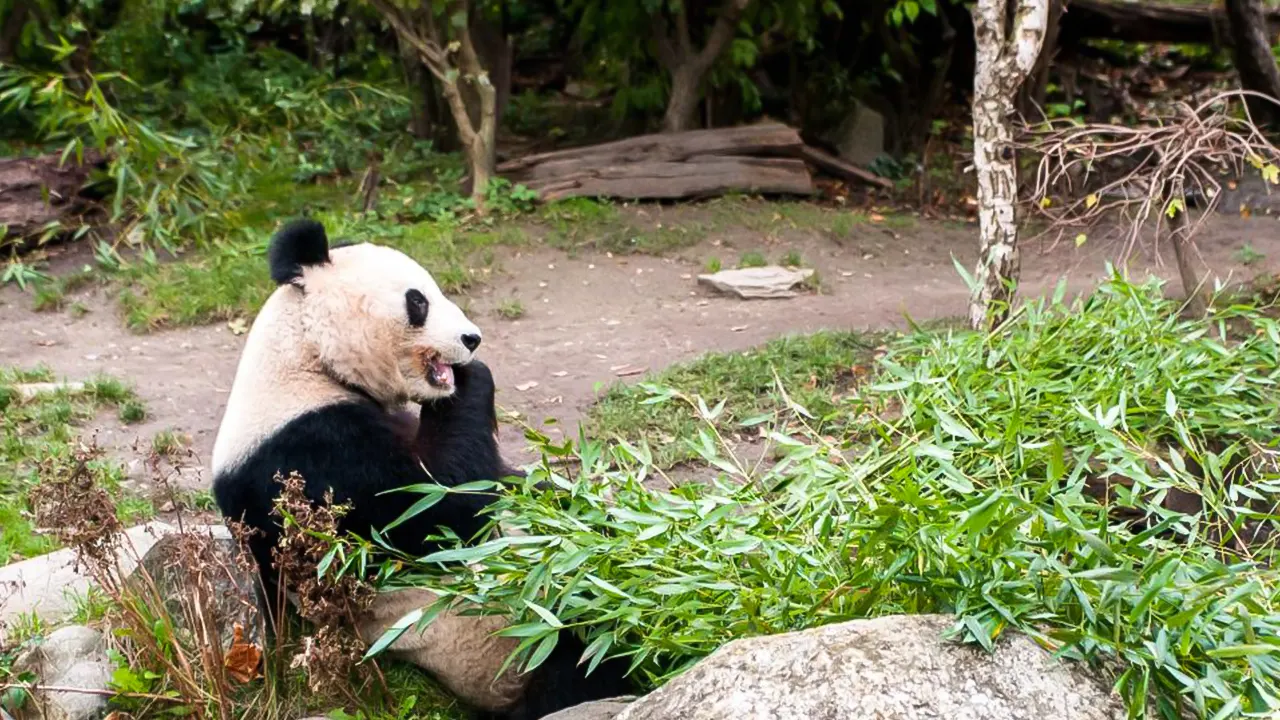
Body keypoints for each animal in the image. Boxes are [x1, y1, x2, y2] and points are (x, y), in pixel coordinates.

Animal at [212, 220, 632, 717]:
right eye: (419, 301)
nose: (472, 339)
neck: (307, 358)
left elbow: (512, 483)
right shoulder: (308, 458)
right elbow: (435, 510)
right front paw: (471, 377)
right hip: (504, 640)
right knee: (582, 650)